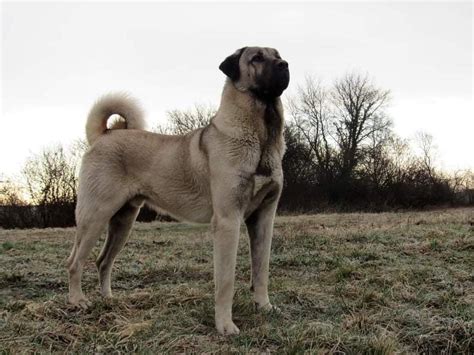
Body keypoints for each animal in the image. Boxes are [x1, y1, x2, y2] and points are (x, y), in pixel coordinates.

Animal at [66, 46, 288, 336]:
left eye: (277, 55)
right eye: (257, 58)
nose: (285, 65)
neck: (262, 135)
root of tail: (104, 135)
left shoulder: (263, 218)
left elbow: (261, 270)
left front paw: (264, 307)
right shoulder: (228, 221)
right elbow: (225, 281)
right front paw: (225, 325)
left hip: (123, 222)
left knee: (103, 261)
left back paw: (108, 299)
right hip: (95, 215)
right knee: (75, 262)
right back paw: (78, 301)